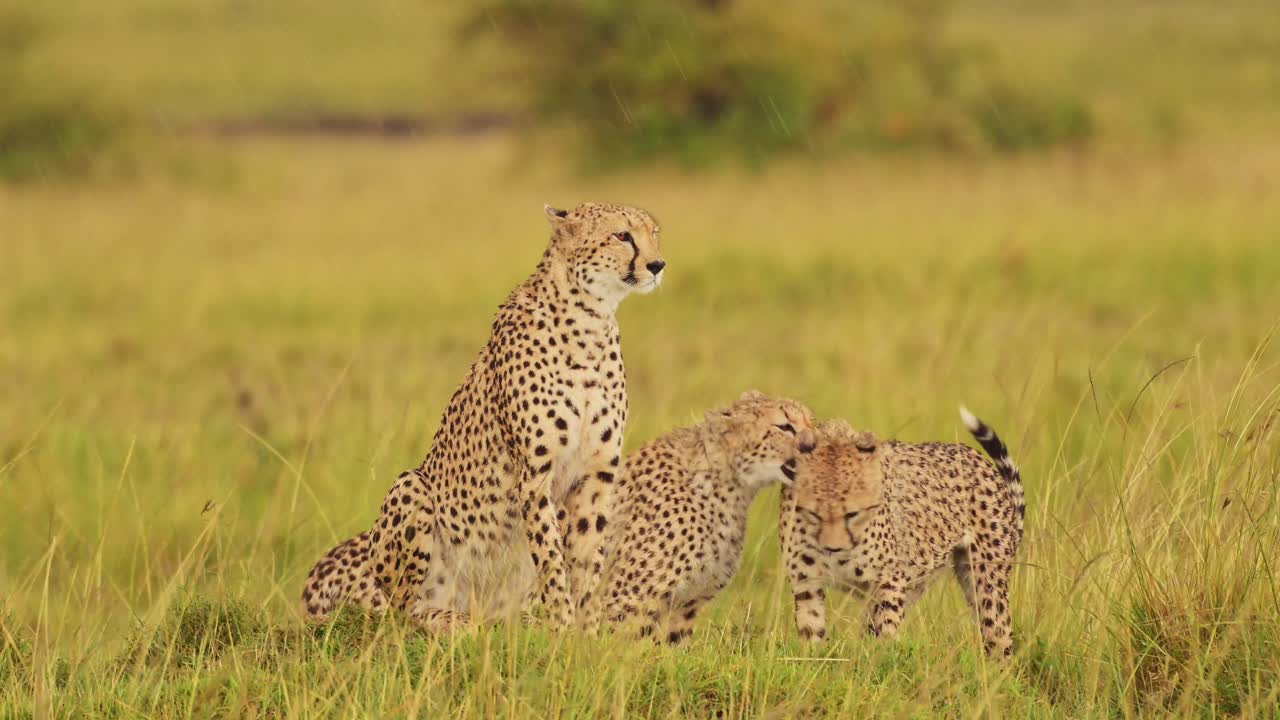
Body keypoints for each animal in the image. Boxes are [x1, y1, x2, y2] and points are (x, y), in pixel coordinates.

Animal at [301, 202, 666, 632]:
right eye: (622, 235)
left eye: (654, 233)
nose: (657, 264)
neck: (590, 319)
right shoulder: (535, 476)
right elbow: (552, 562)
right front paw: (563, 627)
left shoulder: (597, 474)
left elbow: (587, 561)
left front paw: (587, 633)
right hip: (412, 487)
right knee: (403, 610)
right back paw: (452, 621)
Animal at [779, 408, 1025, 658]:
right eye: (813, 513)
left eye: (853, 513)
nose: (833, 549)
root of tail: (974, 455)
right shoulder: (806, 581)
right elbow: (811, 634)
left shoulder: (889, 581)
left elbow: (886, 636)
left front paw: (881, 662)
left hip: (986, 580)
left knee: (998, 634)